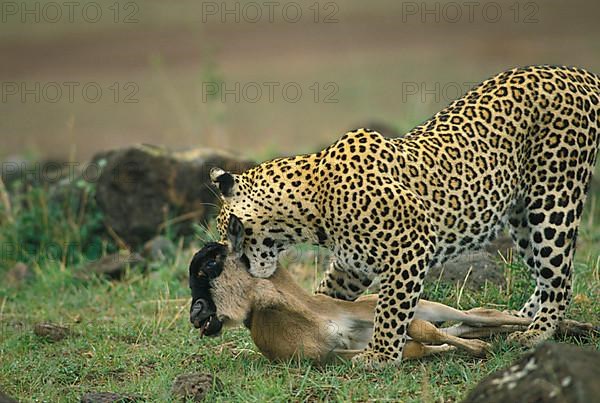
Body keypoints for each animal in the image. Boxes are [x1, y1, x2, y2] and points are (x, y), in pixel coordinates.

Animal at [209, 65, 596, 370]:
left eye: (231, 230)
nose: (230, 258)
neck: (312, 204)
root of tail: (577, 73)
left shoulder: (411, 245)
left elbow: (392, 308)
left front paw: (380, 355)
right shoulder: (352, 264)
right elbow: (329, 295)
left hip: (553, 199)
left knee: (559, 276)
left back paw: (537, 332)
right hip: (521, 215)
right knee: (544, 276)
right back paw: (526, 318)